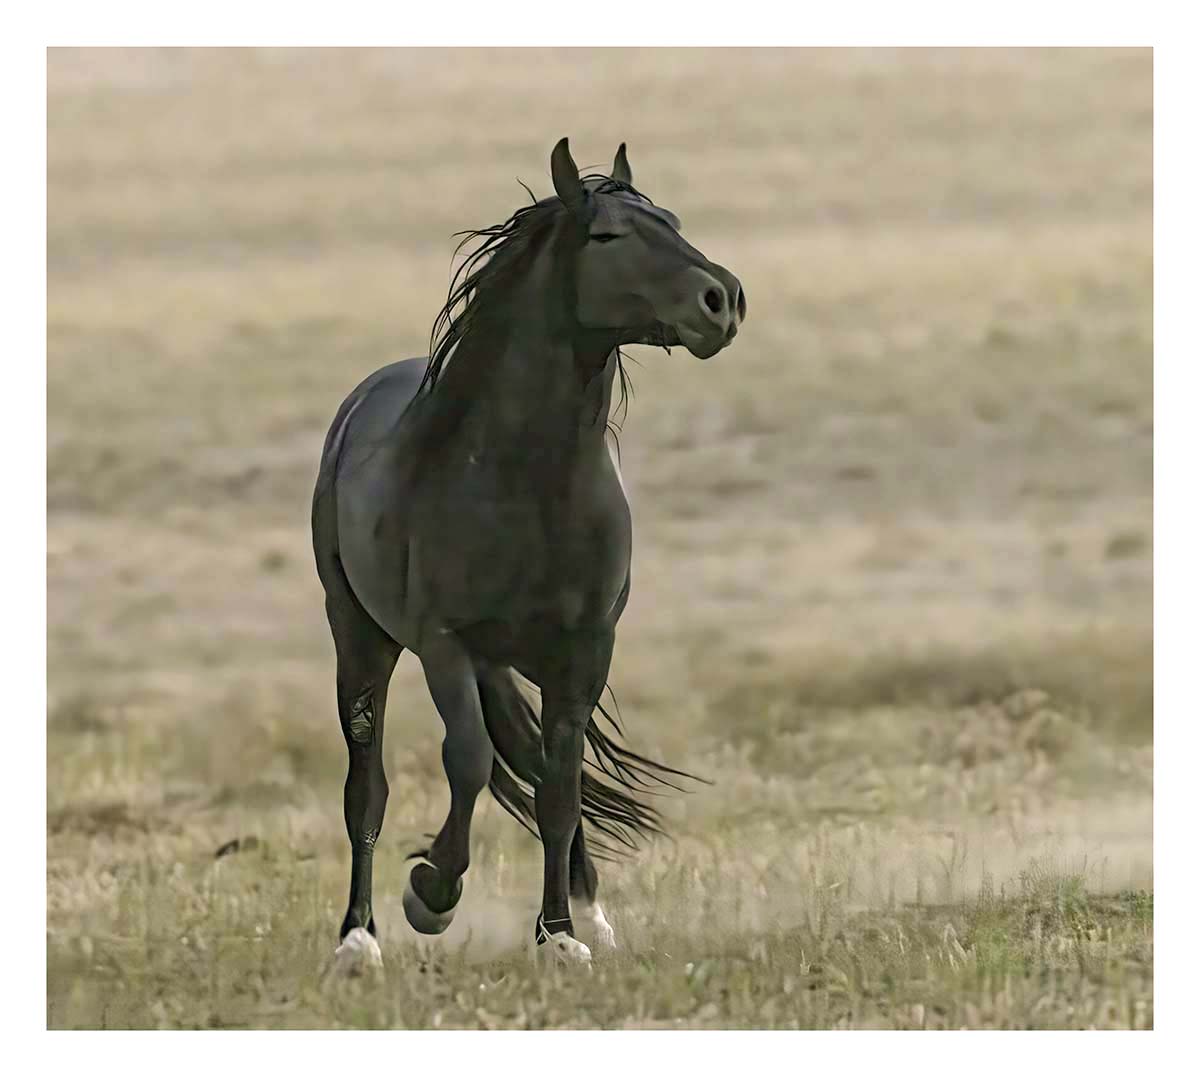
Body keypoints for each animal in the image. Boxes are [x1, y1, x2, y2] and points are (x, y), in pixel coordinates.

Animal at [312, 138, 745, 970]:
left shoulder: (584, 652)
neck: (530, 484)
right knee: (366, 784)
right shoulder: (446, 643)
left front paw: (563, 932)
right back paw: (358, 937)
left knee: (542, 766)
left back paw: (590, 911)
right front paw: (431, 893)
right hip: (362, 637)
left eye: (673, 222)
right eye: (607, 235)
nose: (724, 300)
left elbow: (560, 787)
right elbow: (468, 760)